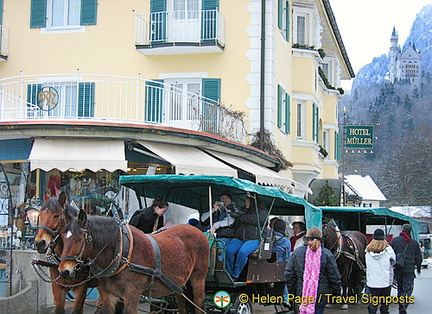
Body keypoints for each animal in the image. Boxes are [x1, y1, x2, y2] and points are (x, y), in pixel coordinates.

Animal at [58, 209, 210, 314]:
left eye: (79, 239)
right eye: (62, 238)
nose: (64, 271)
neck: (121, 253)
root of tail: (197, 231)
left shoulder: (132, 295)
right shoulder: (107, 295)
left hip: (198, 278)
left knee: (198, 302)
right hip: (178, 284)